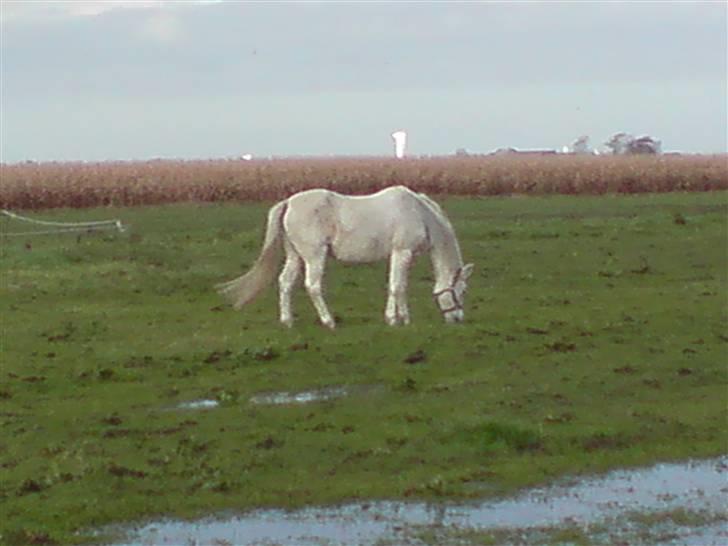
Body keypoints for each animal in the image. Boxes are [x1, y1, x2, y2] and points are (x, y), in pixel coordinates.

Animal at [216, 185, 474, 328]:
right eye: (461, 291)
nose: (458, 318)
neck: (421, 213)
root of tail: (288, 203)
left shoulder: (399, 255)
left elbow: (397, 285)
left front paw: (397, 317)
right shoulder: (402, 252)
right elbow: (397, 286)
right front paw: (399, 319)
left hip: (295, 257)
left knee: (285, 283)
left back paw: (287, 321)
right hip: (315, 256)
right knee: (312, 286)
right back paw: (328, 321)